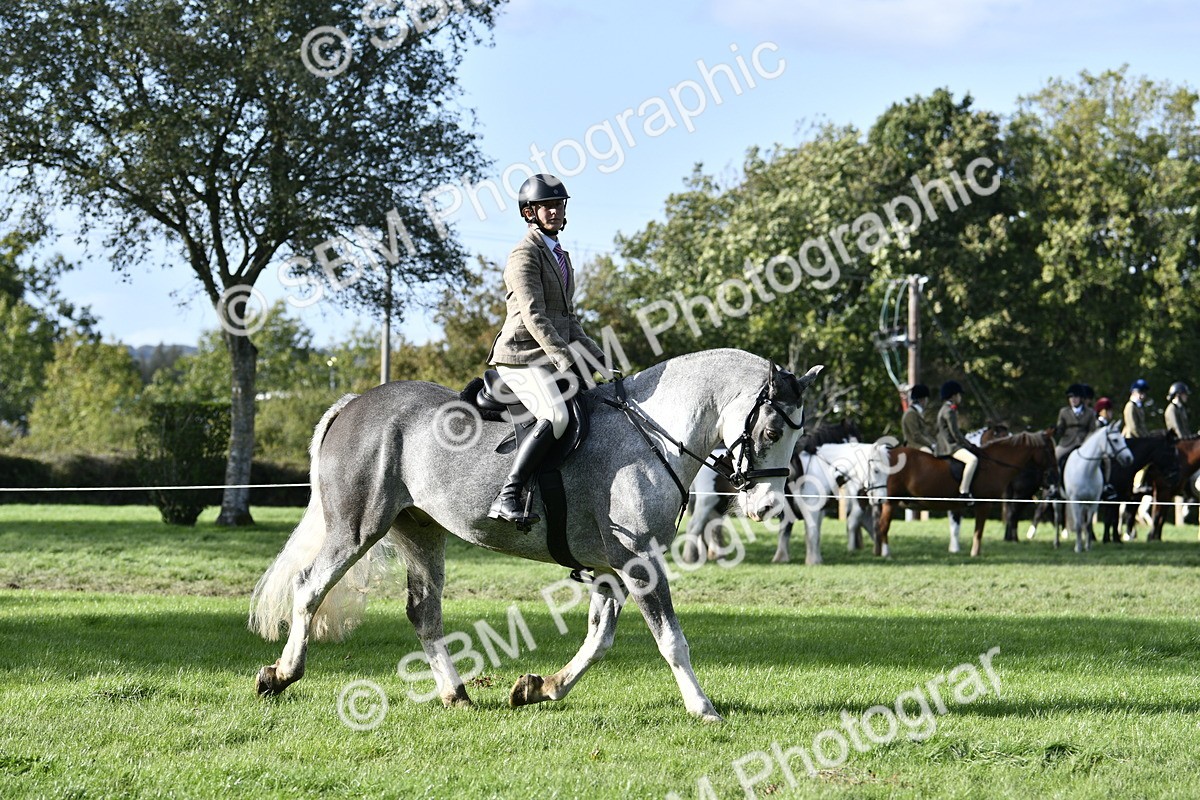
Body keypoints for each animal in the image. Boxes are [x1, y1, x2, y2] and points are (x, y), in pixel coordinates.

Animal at [248, 349, 822, 723]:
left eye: (797, 435)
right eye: (773, 430)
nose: (767, 506)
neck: (651, 434)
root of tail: (354, 403)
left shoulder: (612, 569)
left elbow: (598, 639)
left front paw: (539, 688)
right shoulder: (638, 560)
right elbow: (671, 641)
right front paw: (703, 708)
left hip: (422, 531)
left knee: (423, 611)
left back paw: (456, 694)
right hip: (357, 527)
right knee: (309, 586)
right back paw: (281, 674)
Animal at [872, 431, 1058, 557]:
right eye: (1050, 450)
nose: (1054, 477)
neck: (994, 464)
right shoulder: (984, 504)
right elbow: (979, 531)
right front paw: (975, 553)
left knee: (878, 526)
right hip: (890, 502)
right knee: (883, 526)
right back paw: (886, 554)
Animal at [1058, 423, 1134, 553]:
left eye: (1123, 439)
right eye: (1115, 440)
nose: (1129, 458)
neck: (1085, 470)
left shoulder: (1093, 501)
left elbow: (1088, 524)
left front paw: (1088, 547)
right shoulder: (1075, 501)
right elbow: (1078, 524)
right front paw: (1078, 548)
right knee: (1058, 518)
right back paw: (1056, 542)